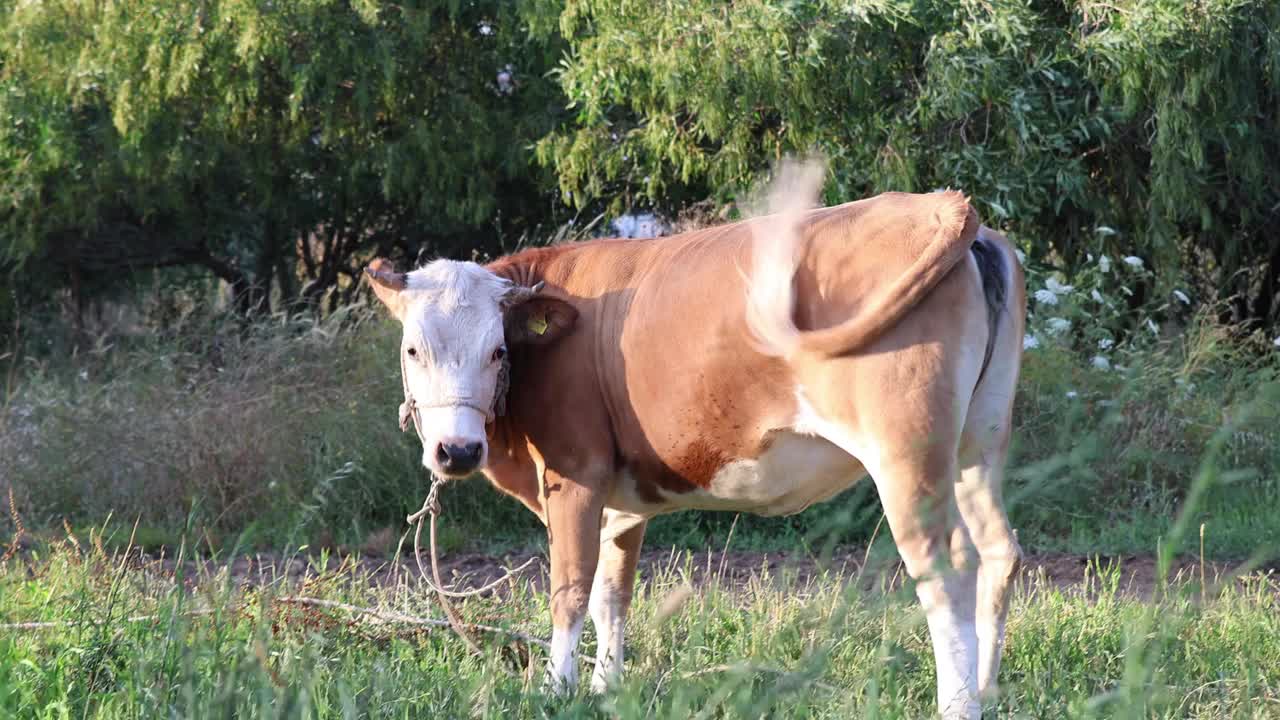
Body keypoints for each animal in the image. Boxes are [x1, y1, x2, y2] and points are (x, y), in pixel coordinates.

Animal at [366, 180, 1024, 717]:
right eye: (413, 350)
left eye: (498, 350)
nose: (456, 451)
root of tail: (942, 205)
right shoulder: (620, 496)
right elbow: (612, 594)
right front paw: (606, 689)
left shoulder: (575, 473)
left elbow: (571, 588)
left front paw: (557, 691)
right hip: (979, 442)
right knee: (997, 550)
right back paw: (987, 692)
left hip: (906, 455)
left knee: (944, 567)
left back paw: (958, 705)